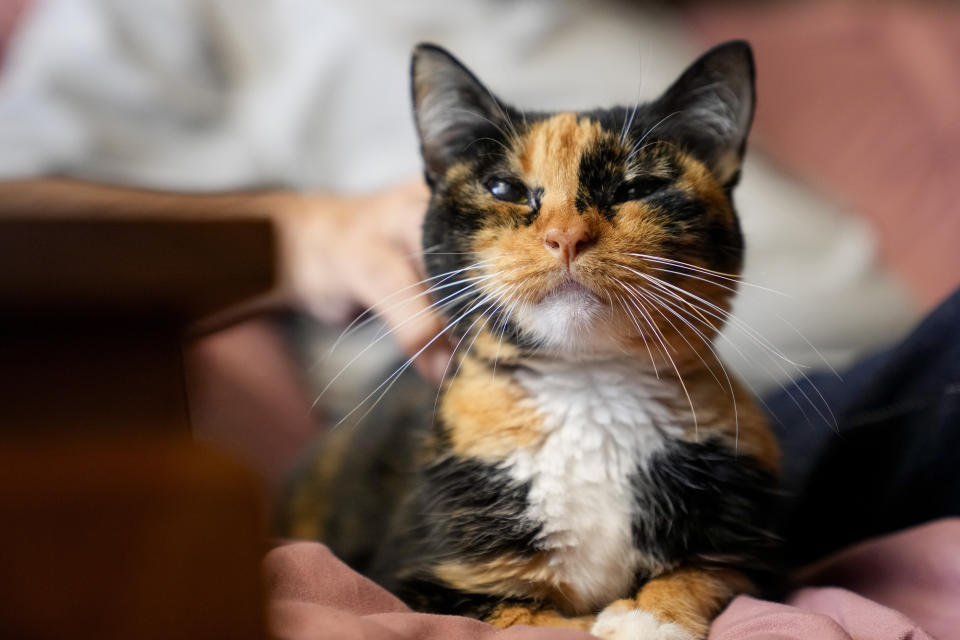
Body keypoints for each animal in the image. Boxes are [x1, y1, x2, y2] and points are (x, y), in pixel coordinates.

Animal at [284, 41, 780, 640]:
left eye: (638, 189)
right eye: (504, 189)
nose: (566, 236)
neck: (589, 390)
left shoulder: (749, 543)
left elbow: (707, 572)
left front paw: (648, 616)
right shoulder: (416, 583)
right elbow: (536, 621)